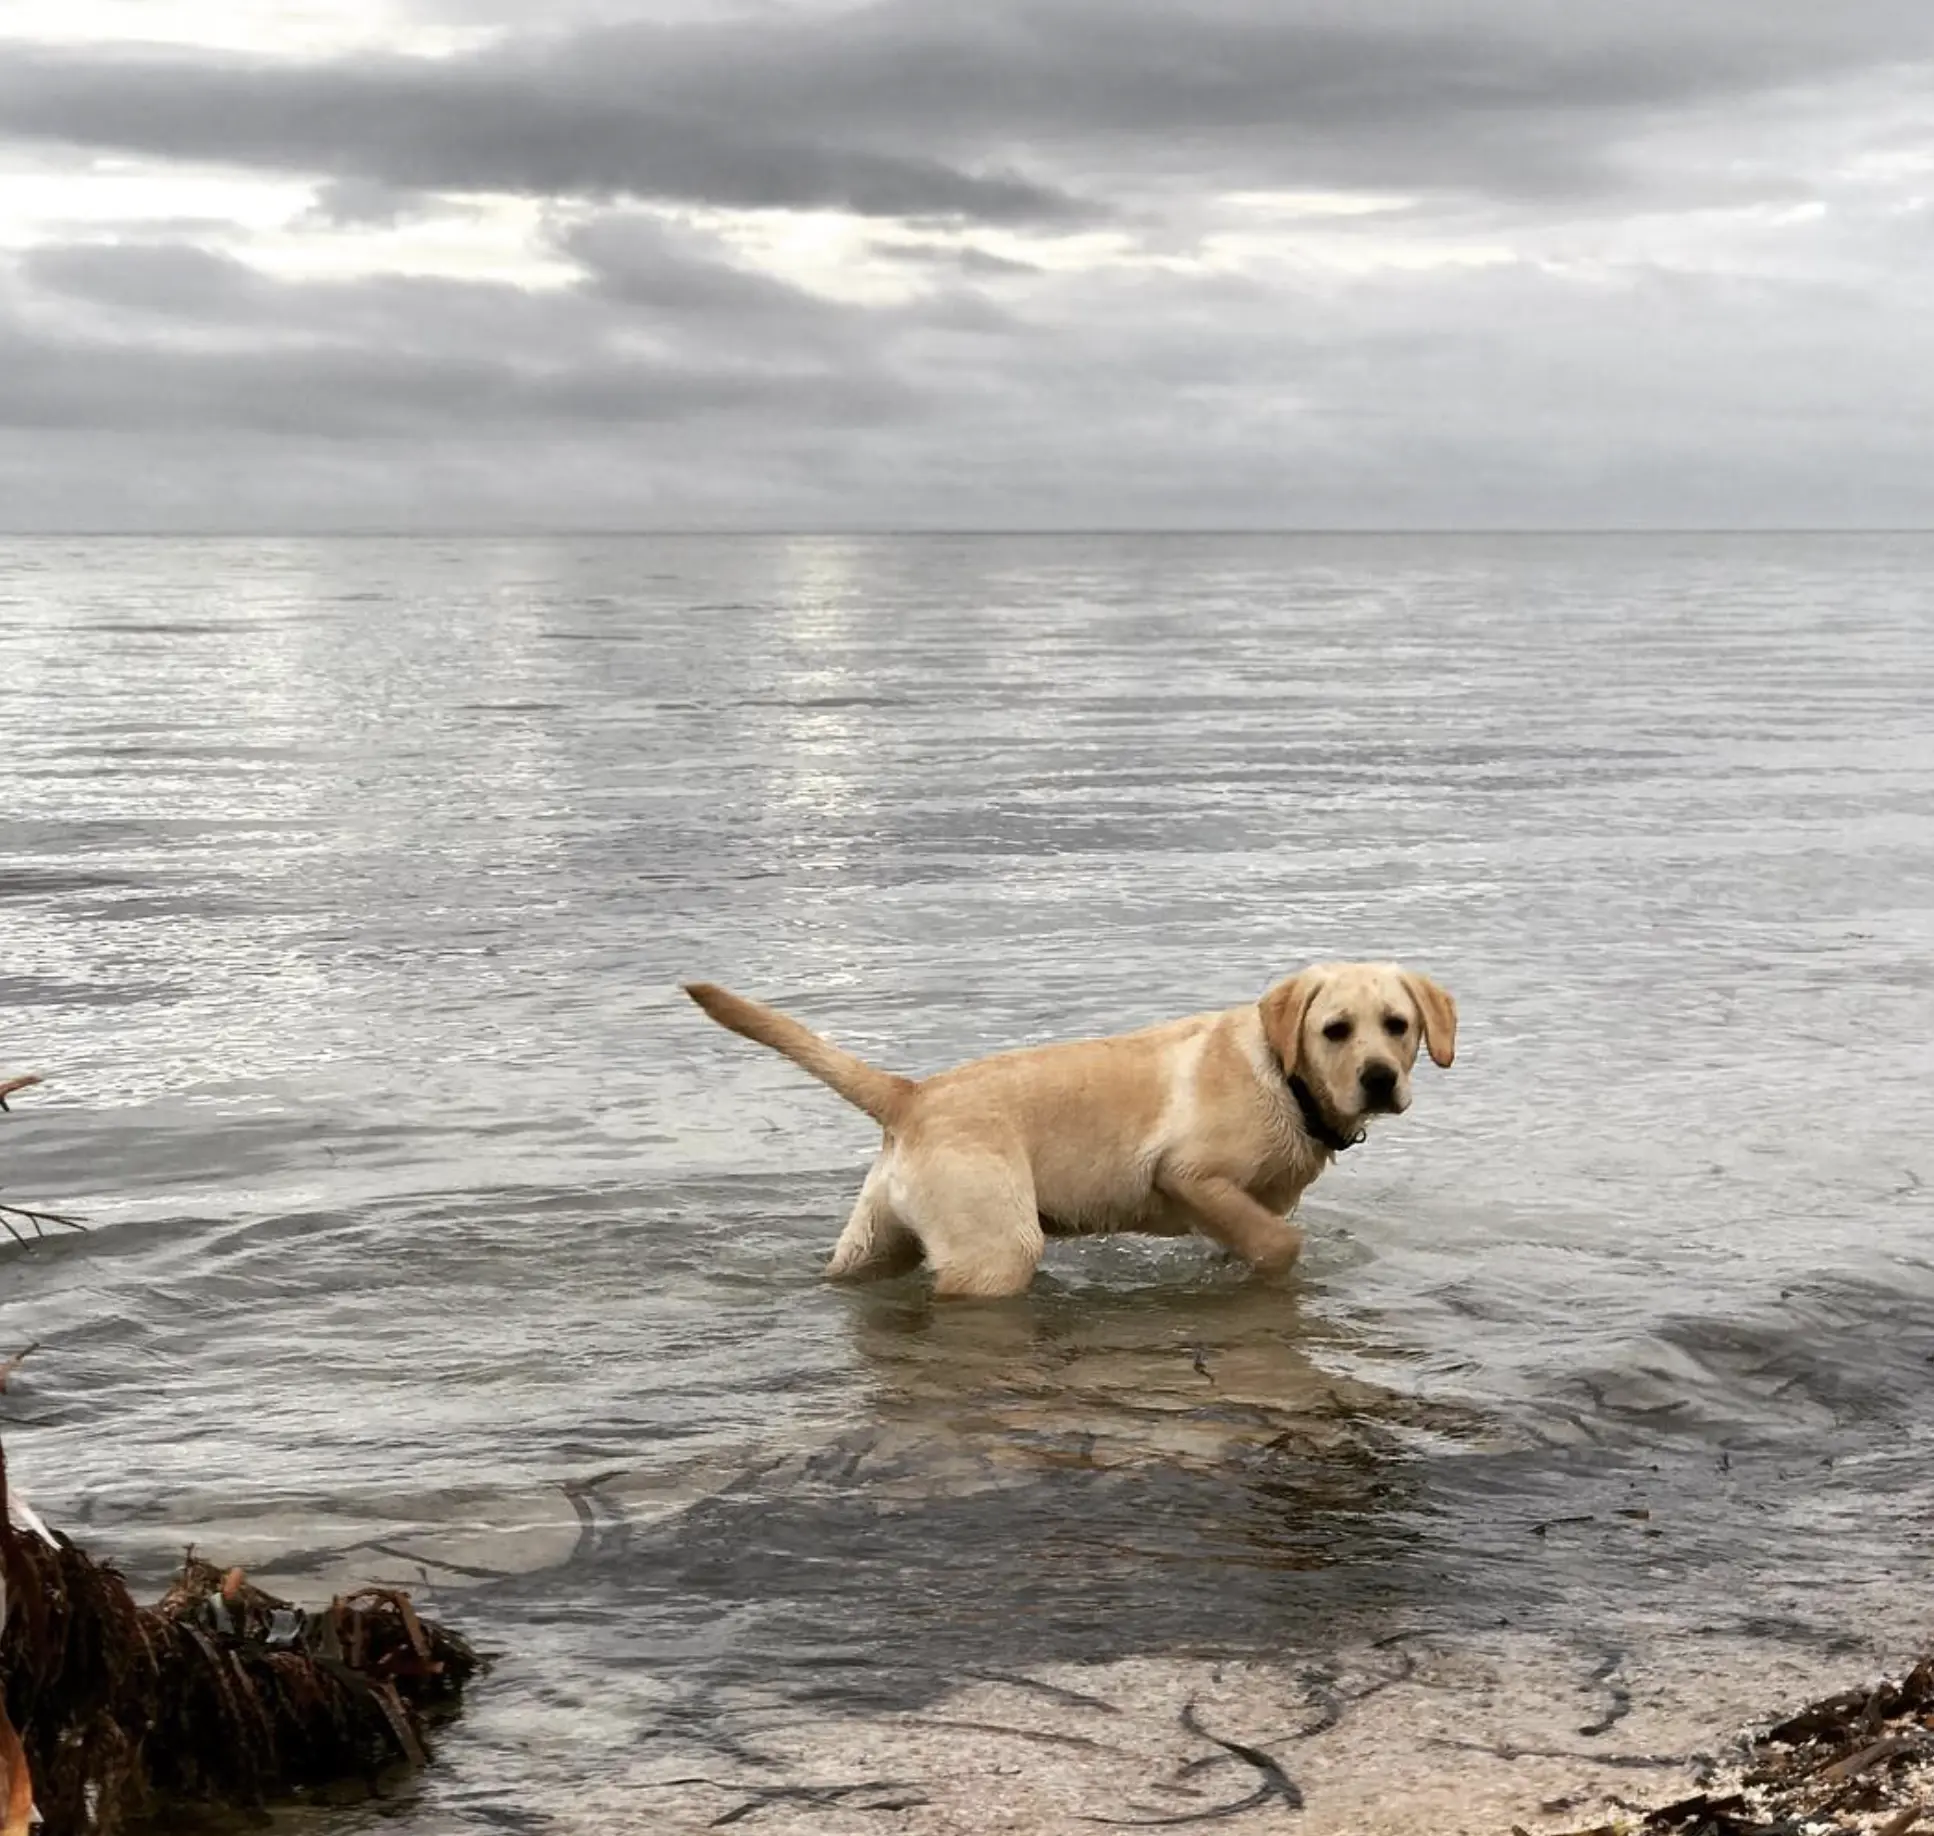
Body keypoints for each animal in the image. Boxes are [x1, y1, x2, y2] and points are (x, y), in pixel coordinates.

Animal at [680, 967, 1454, 1300]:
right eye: (1335, 1031)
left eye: (1398, 1025)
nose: (1380, 1078)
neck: (1284, 1078)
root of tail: (911, 1094)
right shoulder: (1187, 1174)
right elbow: (1280, 1244)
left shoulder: (1245, 1203)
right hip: (997, 1249)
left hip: (875, 1240)